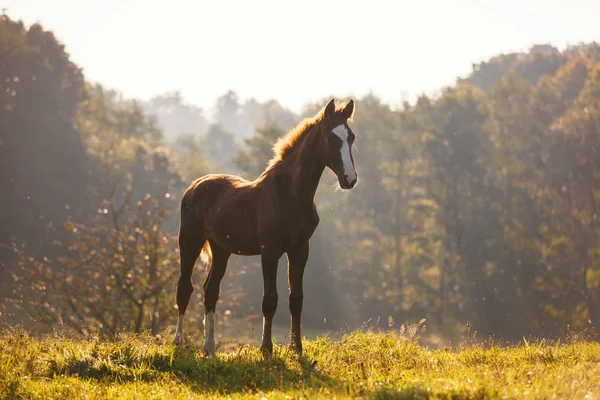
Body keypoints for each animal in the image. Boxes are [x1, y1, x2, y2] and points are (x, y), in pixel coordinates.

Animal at [175, 99, 360, 356]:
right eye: (331, 138)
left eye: (351, 137)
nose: (349, 179)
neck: (291, 195)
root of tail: (195, 185)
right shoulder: (270, 250)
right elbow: (269, 299)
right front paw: (266, 349)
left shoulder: (300, 249)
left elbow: (296, 299)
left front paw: (296, 348)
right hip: (189, 242)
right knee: (184, 288)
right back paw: (178, 342)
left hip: (221, 250)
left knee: (210, 290)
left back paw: (209, 346)